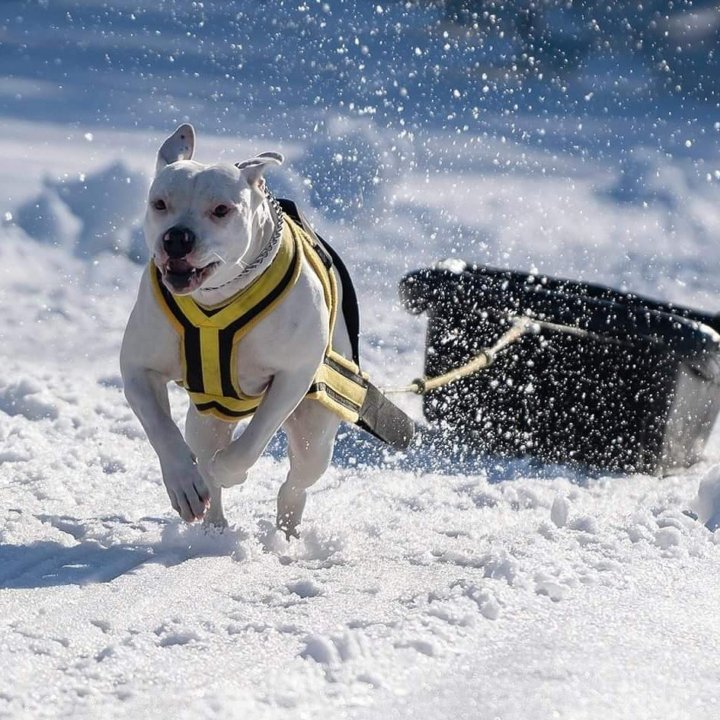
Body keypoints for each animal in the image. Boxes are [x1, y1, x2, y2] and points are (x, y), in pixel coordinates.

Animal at [120, 126, 408, 536]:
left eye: (221, 209)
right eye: (160, 203)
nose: (176, 238)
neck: (218, 297)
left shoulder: (292, 376)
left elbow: (253, 440)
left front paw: (230, 470)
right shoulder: (138, 369)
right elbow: (161, 428)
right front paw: (184, 483)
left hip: (315, 430)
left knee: (297, 480)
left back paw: (283, 531)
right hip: (207, 420)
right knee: (204, 452)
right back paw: (213, 527)